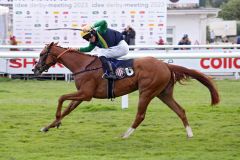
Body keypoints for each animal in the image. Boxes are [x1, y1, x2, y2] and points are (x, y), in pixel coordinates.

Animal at [32, 42, 220, 138]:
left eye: (41, 54)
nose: (35, 69)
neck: (83, 65)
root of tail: (166, 64)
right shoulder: (82, 95)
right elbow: (67, 108)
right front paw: (48, 126)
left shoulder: (86, 94)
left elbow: (61, 98)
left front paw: (56, 121)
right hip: (163, 93)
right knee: (180, 110)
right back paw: (189, 133)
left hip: (147, 91)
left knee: (141, 115)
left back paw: (126, 134)